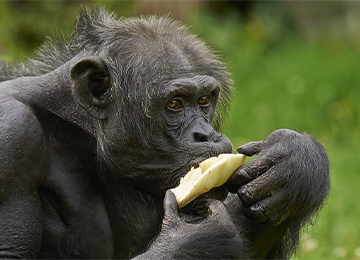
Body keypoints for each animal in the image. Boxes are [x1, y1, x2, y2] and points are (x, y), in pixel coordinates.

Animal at [0, 6, 330, 260]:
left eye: (204, 100)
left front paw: (296, 165)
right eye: (174, 104)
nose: (205, 134)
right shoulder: (13, 137)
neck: (83, 130)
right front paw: (194, 242)